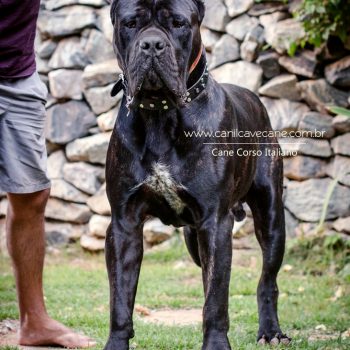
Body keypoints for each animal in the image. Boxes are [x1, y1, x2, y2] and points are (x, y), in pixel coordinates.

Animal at [104, 1, 290, 348]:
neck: (159, 113)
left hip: (271, 217)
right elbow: (120, 298)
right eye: (131, 23)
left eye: (178, 23)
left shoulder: (214, 223)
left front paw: (216, 343)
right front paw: (117, 342)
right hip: (193, 238)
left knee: (267, 280)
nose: (152, 44)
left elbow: (216, 298)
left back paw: (271, 330)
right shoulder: (124, 224)